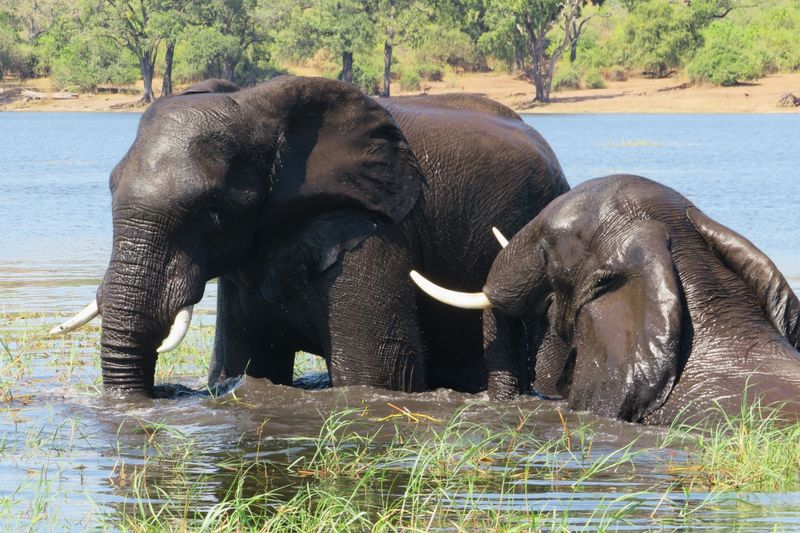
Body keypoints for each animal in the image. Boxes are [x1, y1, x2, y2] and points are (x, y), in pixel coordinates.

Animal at [51, 75, 569, 398]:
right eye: (110, 186)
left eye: (214, 211)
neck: (259, 108)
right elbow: (245, 366)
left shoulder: (369, 232)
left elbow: (379, 376)